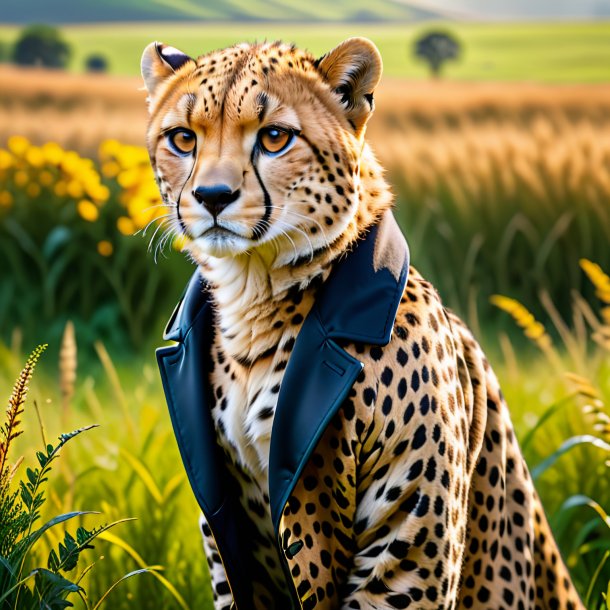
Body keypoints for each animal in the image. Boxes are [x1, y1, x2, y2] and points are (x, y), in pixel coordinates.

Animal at [148, 35, 584, 604]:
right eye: (183, 139)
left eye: (274, 138)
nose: (212, 197)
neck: (253, 294)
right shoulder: (226, 528)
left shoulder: (404, 541)